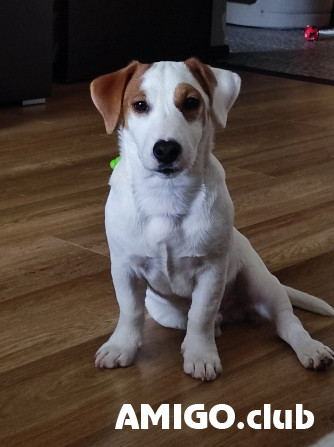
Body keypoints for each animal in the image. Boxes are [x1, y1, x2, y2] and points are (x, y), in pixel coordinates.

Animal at [90, 58, 334, 382]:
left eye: (191, 102)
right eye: (140, 105)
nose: (166, 149)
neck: (167, 194)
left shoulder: (211, 270)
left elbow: (201, 314)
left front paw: (200, 354)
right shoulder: (125, 268)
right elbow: (130, 311)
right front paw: (122, 347)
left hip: (260, 280)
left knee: (286, 321)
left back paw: (310, 349)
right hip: (164, 310)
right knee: (191, 318)